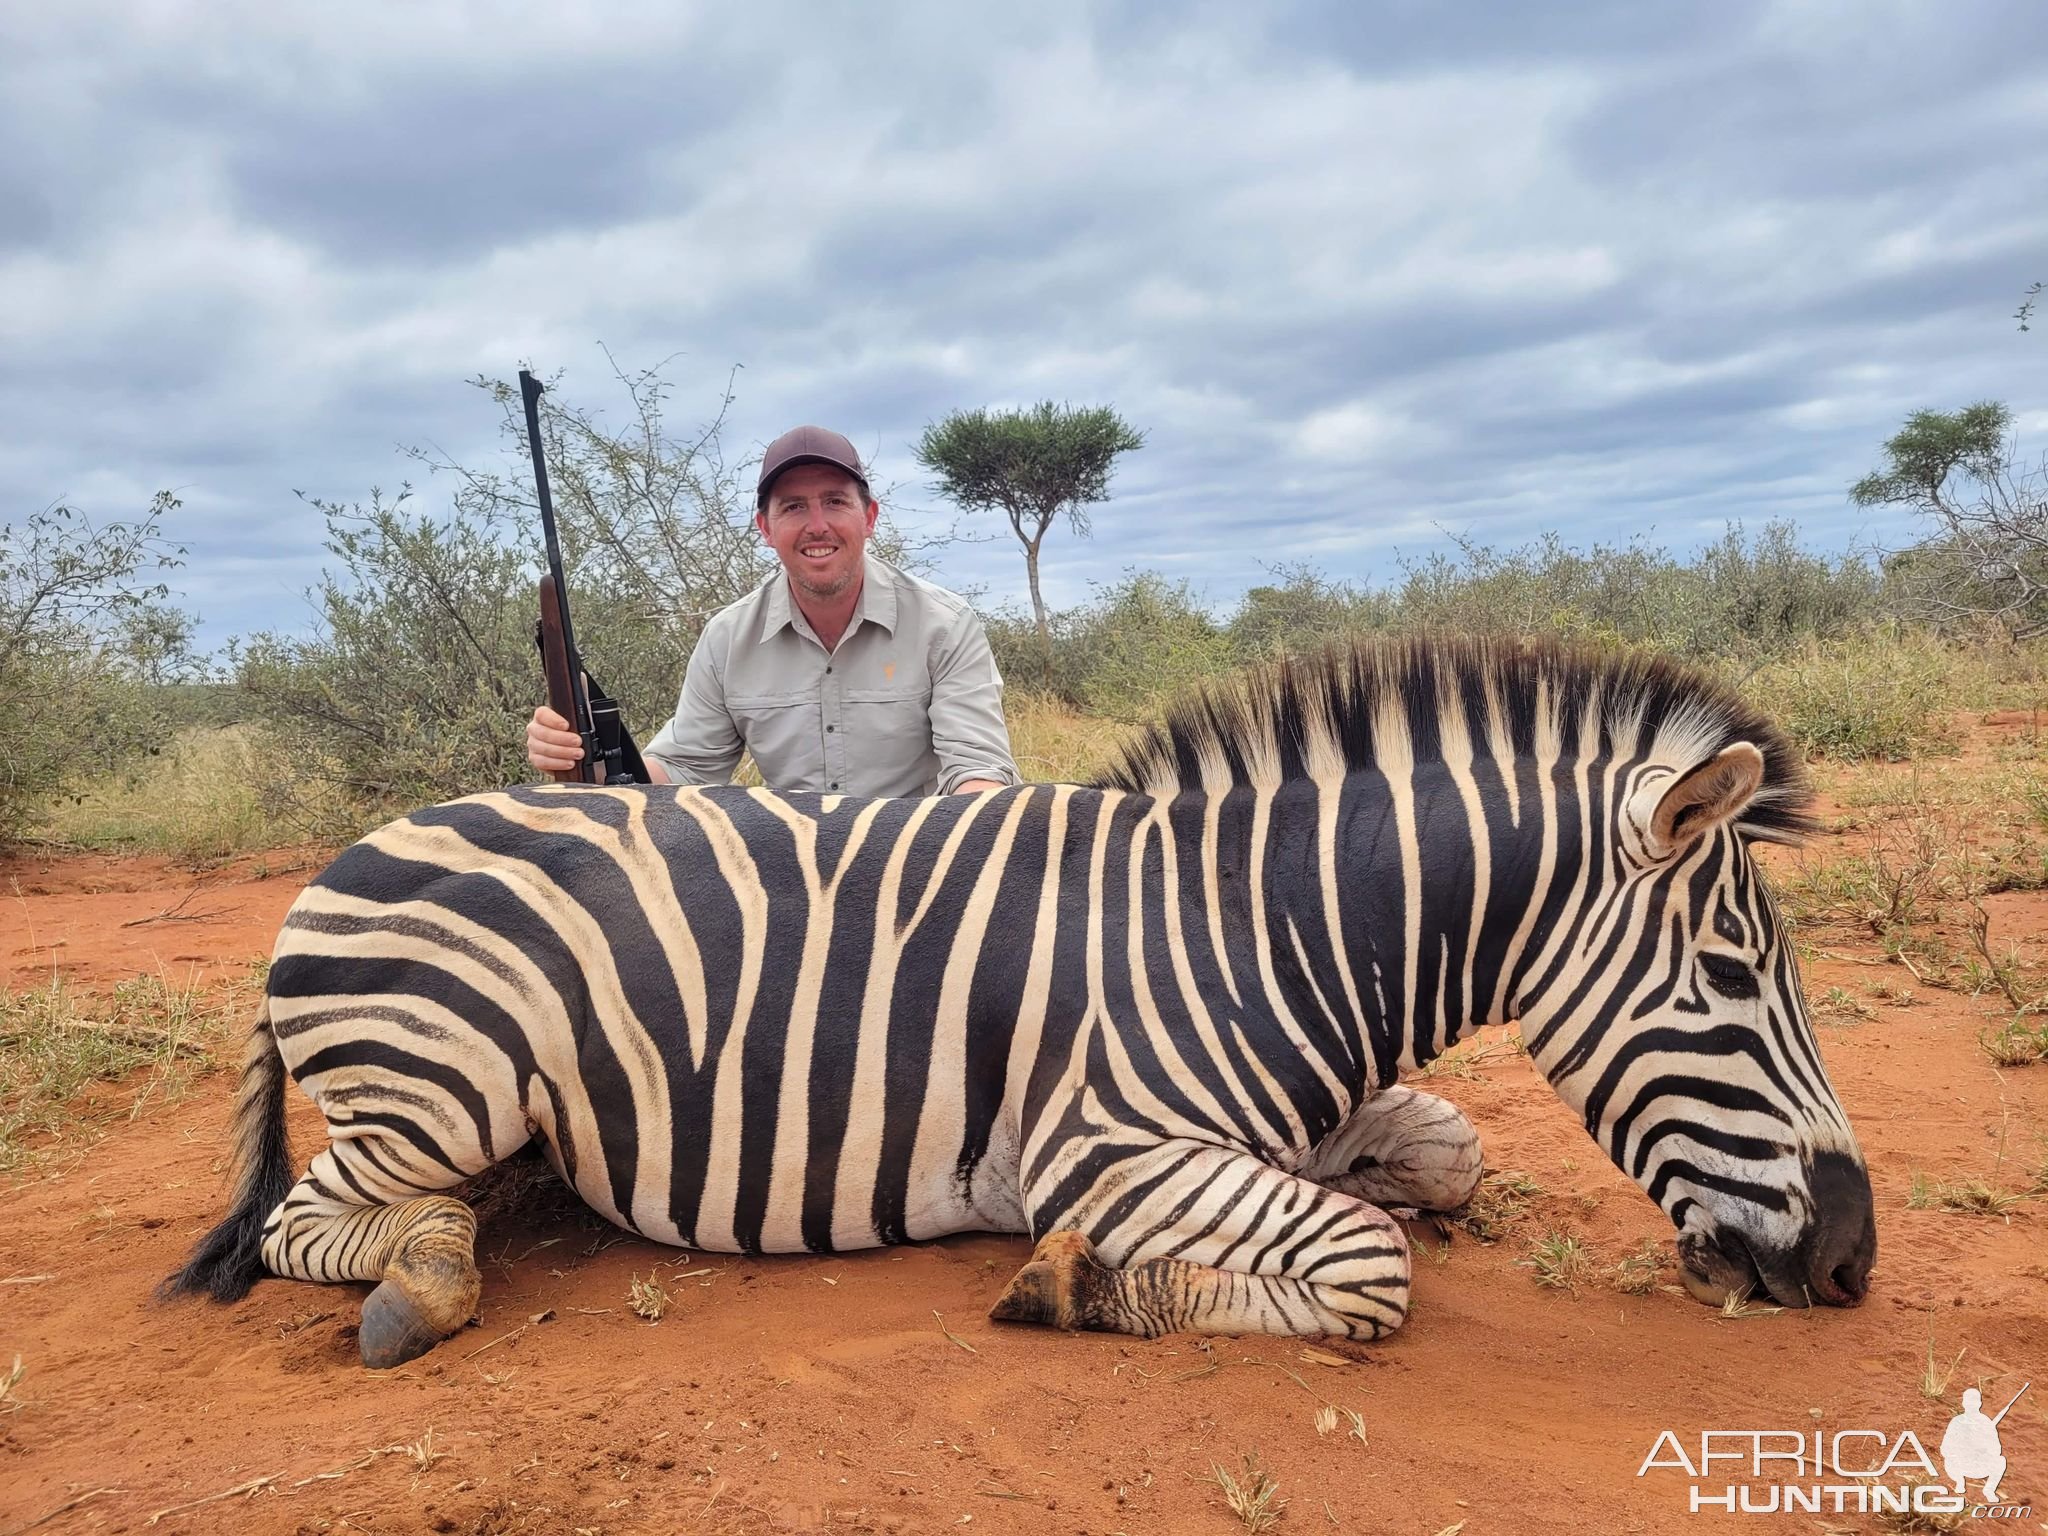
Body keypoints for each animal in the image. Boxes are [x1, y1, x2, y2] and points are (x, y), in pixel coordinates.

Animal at [167, 638, 1875, 1368]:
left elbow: (1439, 1163)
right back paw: (426, 1279)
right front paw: (1078, 1288)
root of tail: (340, 859)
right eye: (1737, 981)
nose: (1855, 1263)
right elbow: (1371, 1268)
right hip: (443, 1085)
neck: (1263, 932)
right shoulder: (1106, 1150)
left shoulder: (1287, 1125)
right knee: (306, 1225)